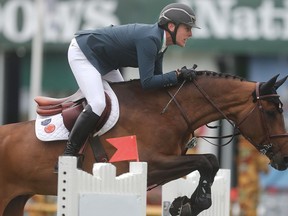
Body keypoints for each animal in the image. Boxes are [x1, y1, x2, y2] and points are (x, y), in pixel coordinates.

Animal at [0, 70, 288, 215]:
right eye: (271, 112)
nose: (285, 159)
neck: (166, 111)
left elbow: (209, 162)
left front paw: (185, 203)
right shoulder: (150, 163)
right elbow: (207, 160)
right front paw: (193, 202)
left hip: (15, 202)